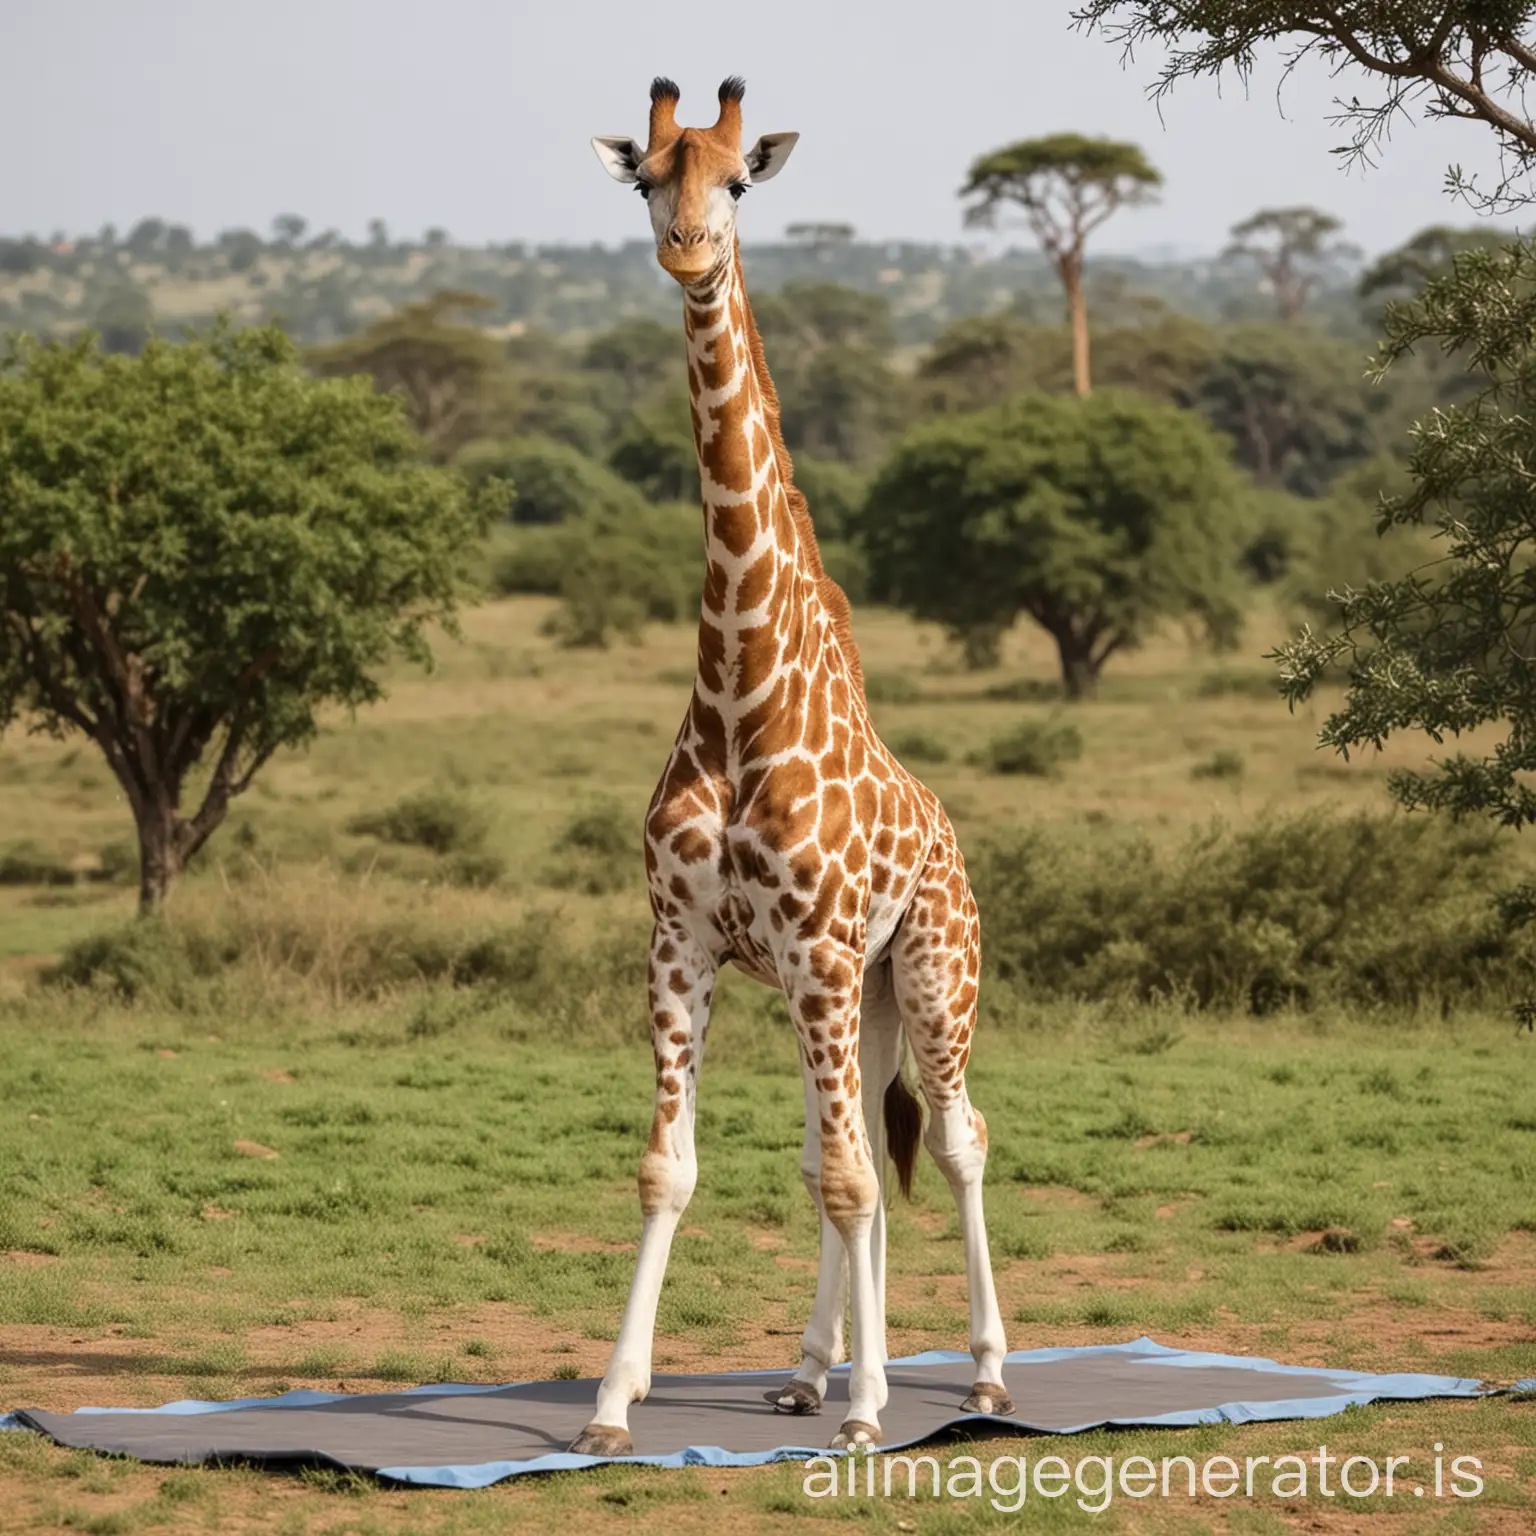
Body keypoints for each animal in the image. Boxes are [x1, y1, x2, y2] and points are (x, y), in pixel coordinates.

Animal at [577, 74, 1007, 1462]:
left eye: (737, 181)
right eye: (647, 175)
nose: (686, 248)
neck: (736, 693)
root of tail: (953, 836)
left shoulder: (816, 950)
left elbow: (858, 1178)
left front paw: (878, 1410)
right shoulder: (681, 942)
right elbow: (678, 1166)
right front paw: (612, 1402)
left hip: (927, 974)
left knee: (955, 1138)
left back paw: (976, 1373)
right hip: (851, 997)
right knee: (852, 1144)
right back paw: (814, 1371)